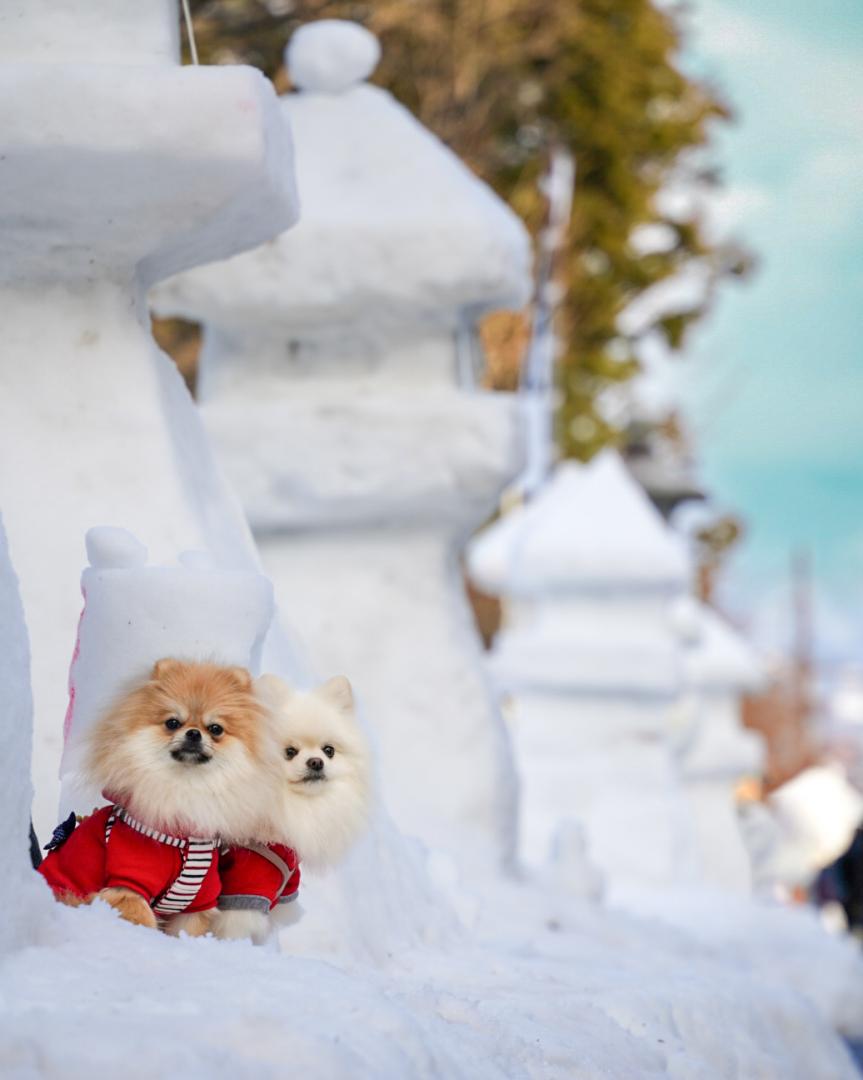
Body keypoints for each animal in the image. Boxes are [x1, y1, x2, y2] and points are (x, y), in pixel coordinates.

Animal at [38, 656, 275, 937]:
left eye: (215, 729)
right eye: (172, 723)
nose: (193, 733)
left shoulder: (198, 899)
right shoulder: (129, 880)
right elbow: (140, 919)